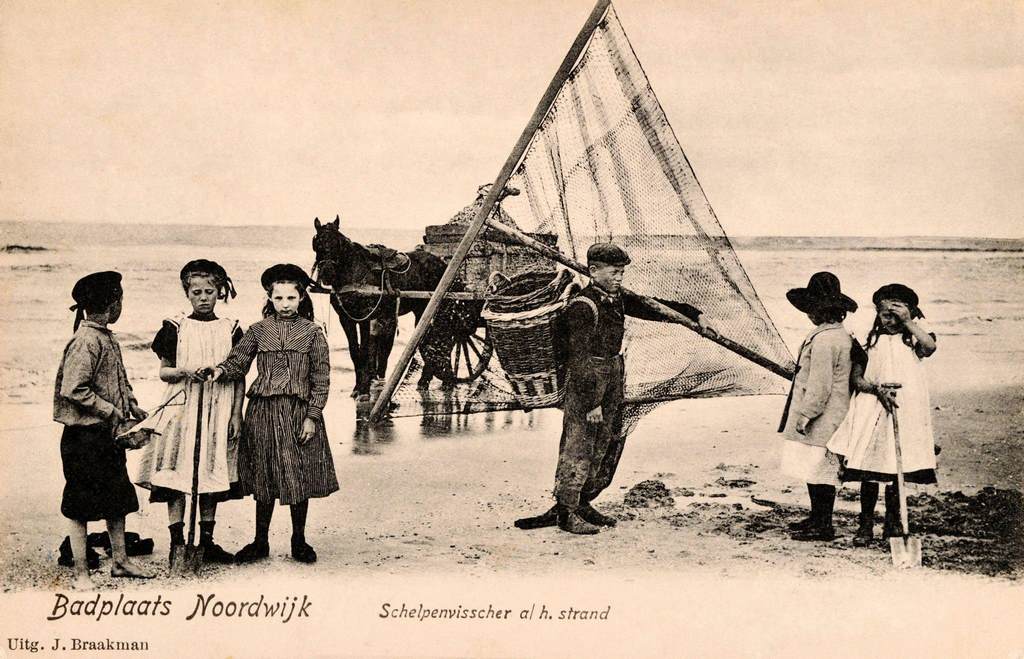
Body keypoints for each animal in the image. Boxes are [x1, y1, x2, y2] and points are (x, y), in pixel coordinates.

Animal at [309, 217, 458, 397]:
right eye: (317, 243)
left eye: (337, 243)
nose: (327, 273)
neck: (354, 272)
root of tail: (442, 263)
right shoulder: (346, 319)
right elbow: (354, 351)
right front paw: (357, 387)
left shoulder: (364, 317)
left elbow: (365, 351)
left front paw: (364, 388)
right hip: (421, 310)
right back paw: (428, 380)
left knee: (435, 339)